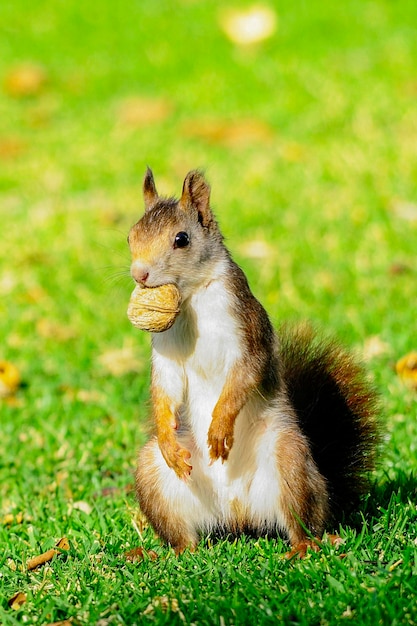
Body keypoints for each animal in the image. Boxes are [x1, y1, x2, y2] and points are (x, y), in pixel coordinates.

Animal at [127, 167, 380, 556]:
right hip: (153, 475)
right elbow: (165, 387)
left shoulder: (246, 329)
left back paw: (305, 545)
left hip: (288, 458)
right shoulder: (166, 351)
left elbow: (245, 373)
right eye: (130, 236)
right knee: (184, 537)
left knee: (302, 518)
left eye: (181, 239)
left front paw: (219, 427)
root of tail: (238, 514)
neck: (190, 299)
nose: (139, 274)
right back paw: (163, 553)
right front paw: (169, 440)